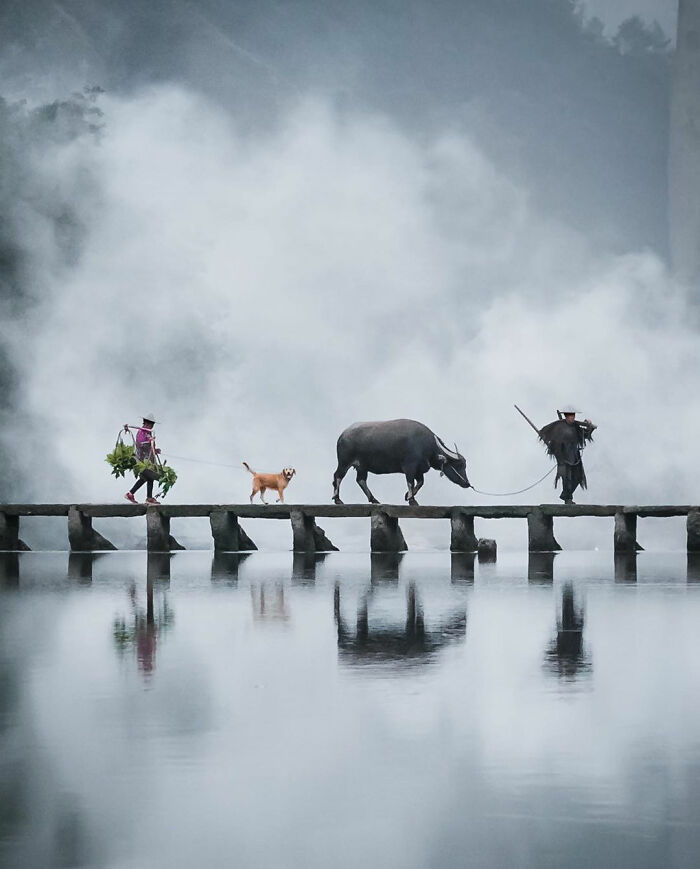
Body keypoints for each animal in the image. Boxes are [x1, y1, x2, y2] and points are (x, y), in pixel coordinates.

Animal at [330, 418, 470, 506]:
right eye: (458, 465)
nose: (467, 484)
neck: (426, 445)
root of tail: (343, 435)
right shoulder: (410, 467)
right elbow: (410, 482)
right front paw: (412, 499)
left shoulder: (419, 470)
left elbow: (420, 483)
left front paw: (407, 496)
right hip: (344, 462)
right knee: (338, 476)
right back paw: (337, 499)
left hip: (362, 466)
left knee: (361, 480)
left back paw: (374, 499)